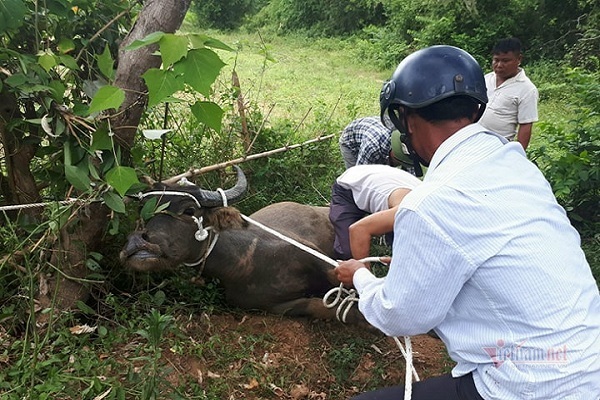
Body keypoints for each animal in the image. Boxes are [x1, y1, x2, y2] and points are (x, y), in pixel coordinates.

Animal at [119, 167, 364, 324]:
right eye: (143, 210)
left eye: (189, 210)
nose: (138, 242)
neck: (248, 260)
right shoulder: (272, 306)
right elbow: (321, 307)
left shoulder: (315, 255)